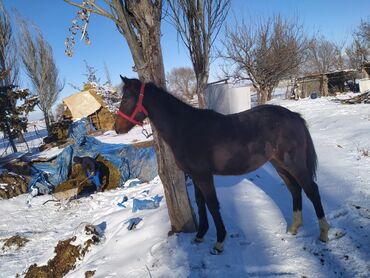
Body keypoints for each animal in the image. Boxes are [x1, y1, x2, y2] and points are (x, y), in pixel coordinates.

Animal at [115, 76, 330, 254]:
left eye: (125, 100)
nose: (117, 129)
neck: (186, 128)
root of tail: (294, 116)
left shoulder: (204, 176)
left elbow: (212, 204)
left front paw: (219, 242)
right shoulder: (195, 175)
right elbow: (200, 203)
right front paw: (200, 235)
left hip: (294, 164)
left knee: (311, 190)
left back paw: (324, 233)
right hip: (279, 165)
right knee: (295, 189)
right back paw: (294, 228)